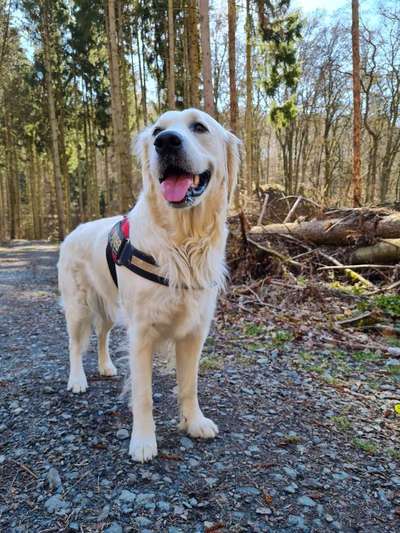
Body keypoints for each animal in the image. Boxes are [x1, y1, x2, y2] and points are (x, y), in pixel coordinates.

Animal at [58, 109, 241, 462]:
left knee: (102, 335)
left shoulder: (195, 330)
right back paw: (77, 379)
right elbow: (143, 393)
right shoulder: (141, 331)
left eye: (199, 127)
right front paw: (143, 441)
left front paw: (194, 422)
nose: (166, 142)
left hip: (111, 309)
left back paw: (105, 366)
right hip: (79, 305)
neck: (182, 241)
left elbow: (190, 385)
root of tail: (75, 229)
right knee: (74, 344)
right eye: (157, 130)